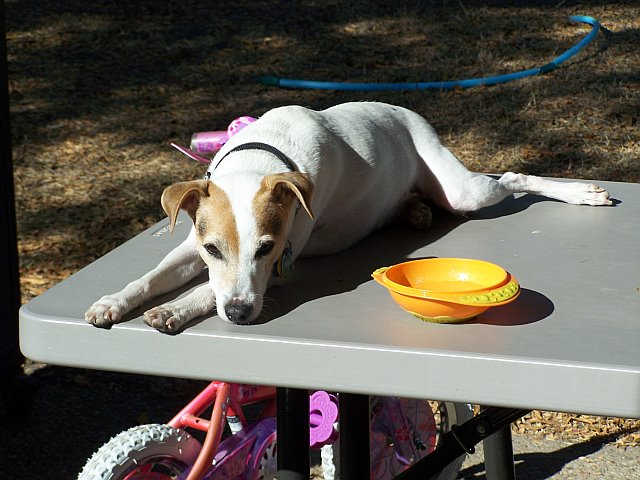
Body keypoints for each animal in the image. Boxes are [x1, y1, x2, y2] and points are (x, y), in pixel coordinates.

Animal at [85, 102, 608, 332]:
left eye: (266, 249)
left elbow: (205, 289)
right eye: (212, 248)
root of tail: (406, 111)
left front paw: (175, 308)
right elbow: (153, 276)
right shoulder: (191, 243)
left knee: (515, 177)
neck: (260, 158)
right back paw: (414, 210)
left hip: (464, 192)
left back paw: (582, 193)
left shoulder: (284, 258)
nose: (237, 314)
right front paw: (113, 301)